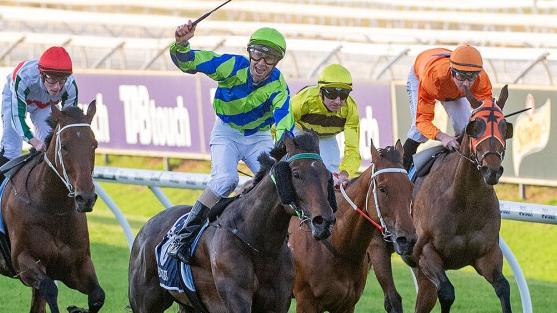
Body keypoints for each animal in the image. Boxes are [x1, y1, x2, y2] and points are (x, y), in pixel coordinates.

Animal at [0, 101, 102, 310]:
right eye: (65, 146)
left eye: (94, 145)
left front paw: (76, 309)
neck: (53, 209)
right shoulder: (23, 261)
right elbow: (50, 289)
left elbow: (97, 295)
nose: (86, 198)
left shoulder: (77, 264)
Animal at [128, 132, 334, 312]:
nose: (323, 221)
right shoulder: (235, 297)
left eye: (327, 175)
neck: (261, 244)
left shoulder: (279, 300)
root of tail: (146, 227)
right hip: (145, 301)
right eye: (297, 174)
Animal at [288, 140, 414, 312]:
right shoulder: (305, 302)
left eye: (410, 187)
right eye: (382, 188)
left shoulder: (347, 304)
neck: (338, 246)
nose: (408, 239)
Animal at [408, 85, 512, 312]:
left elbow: (503, 287)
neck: (466, 200)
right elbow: (447, 292)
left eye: (504, 126)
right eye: (476, 126)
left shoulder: (488, 254)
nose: (492, 170)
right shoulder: (426, 252)